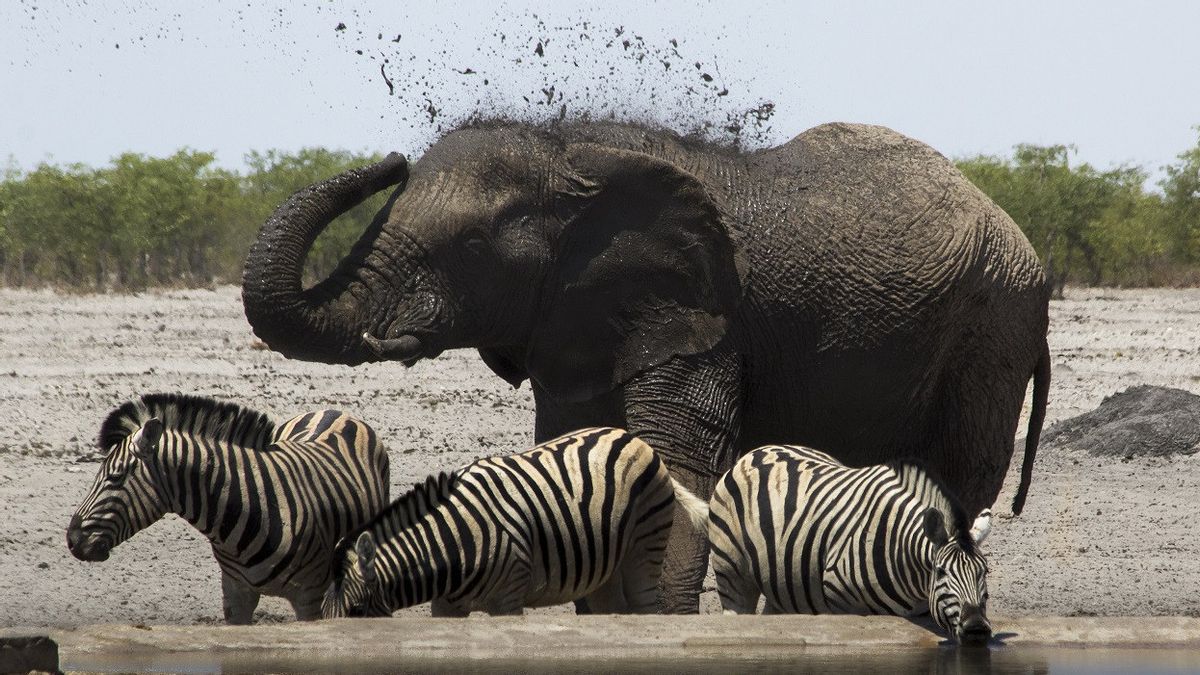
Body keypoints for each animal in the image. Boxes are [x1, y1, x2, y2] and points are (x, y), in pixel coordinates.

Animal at [321, 425, 710, 614]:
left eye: (356, 610)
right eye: (322, 614)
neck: (453, 542)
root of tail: (634, 439)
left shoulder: (508, 598)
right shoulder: (445, 605)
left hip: (644, 547)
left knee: (645, 608)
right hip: (605, 570)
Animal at [700, 444, 993, 643]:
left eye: (984, 572)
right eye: (941, 572)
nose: (977, 629)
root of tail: (756, 451)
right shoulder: (840, 602)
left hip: (783, 584)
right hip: (732, 572)